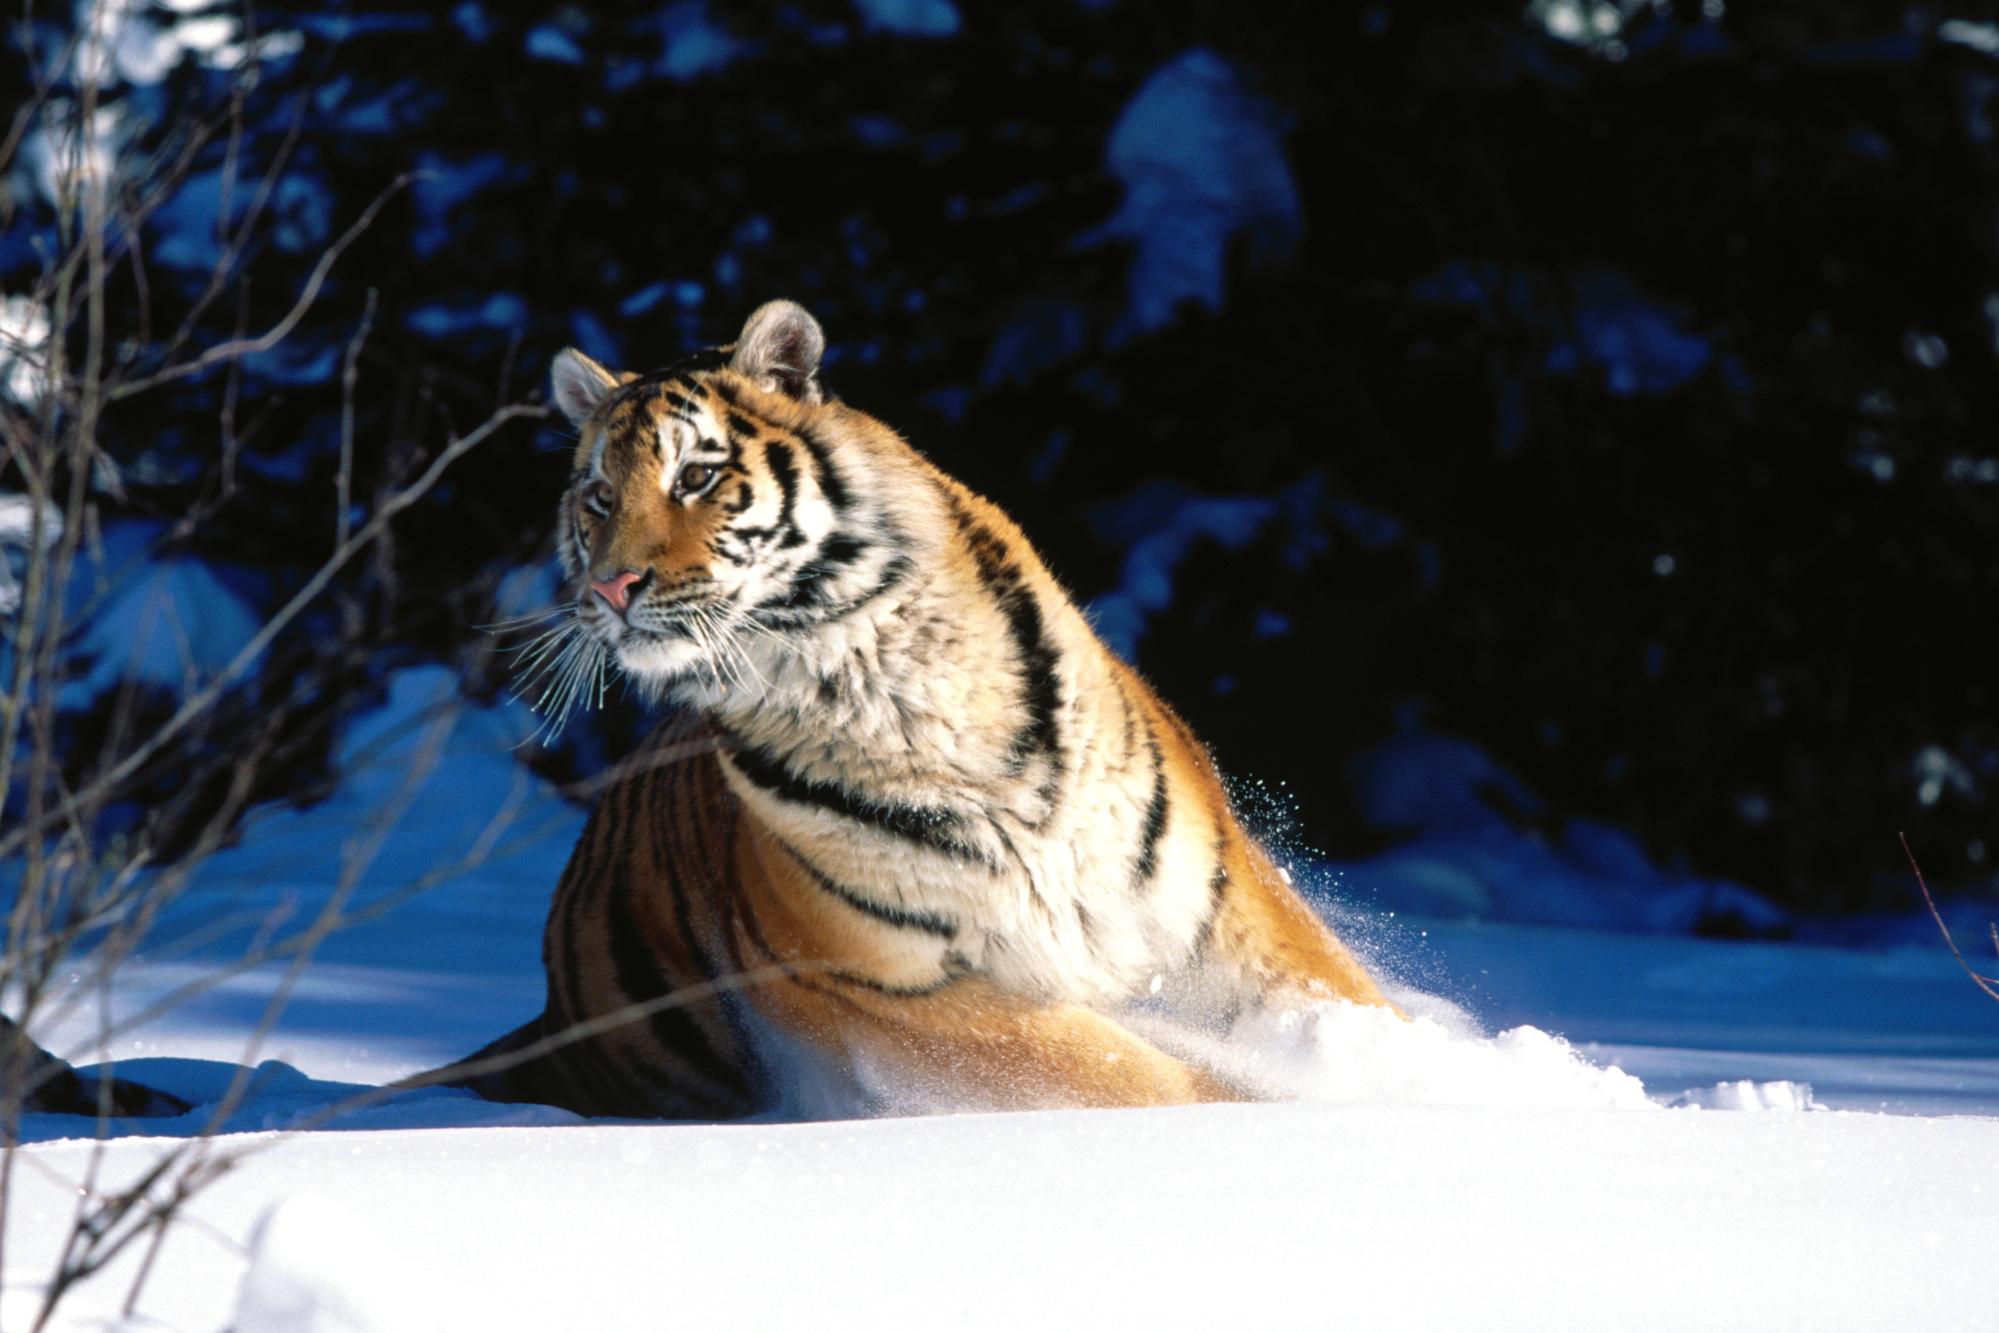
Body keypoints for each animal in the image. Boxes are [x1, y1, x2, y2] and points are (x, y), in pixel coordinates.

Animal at [451, 299, 1391, 1119]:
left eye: (696, 475)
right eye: (598, 497)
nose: (608, 588)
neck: (879, 675)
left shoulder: (1212, 898)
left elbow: (1337, 998)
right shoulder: (880, 982)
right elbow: (1131, 1071)